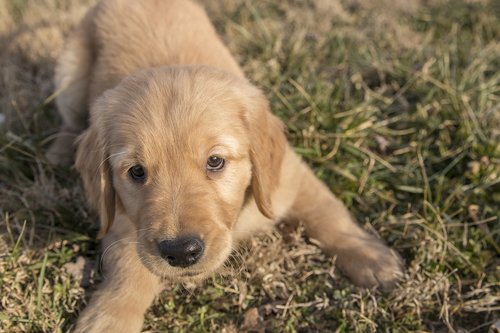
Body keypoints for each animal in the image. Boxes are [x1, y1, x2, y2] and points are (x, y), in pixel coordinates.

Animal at [47, 0, 402, 330]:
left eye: (215, 161)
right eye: (136, 171)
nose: (181, 252)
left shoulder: (290, 176)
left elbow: (327, 212)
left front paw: (370, 257)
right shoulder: (121, 218)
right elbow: (128, 269)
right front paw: (111, 316)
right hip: (70, 72)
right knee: (70, 119)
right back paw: (61, 150)